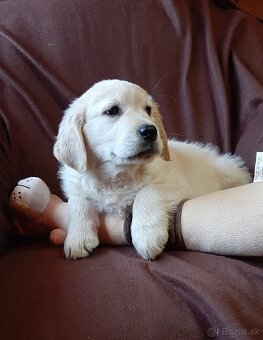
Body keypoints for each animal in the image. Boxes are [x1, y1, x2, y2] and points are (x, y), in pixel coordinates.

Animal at [53, 79, 252, 260]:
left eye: (148, 110)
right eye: (112, 110)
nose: (150, 131)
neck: (117, 175)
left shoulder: (176, 184)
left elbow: (147, 191)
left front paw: (146, 235)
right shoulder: (78, 183)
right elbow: (78, 200)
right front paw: (77, 238)